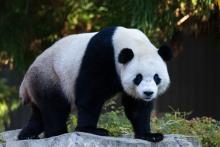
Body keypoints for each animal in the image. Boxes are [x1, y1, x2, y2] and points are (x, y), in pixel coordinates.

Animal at [17, 26, 172, 142]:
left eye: (157, 77)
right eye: (138, 77)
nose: (148, 93)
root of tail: (25, 82)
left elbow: (137, 106)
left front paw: (149, 135)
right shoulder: (101, 55)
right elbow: (90, 95)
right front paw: (90, 130)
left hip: (40, 82)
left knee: (39, 112)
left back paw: (27, 135)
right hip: (50, 76)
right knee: (55, 107)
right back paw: (57, 133)